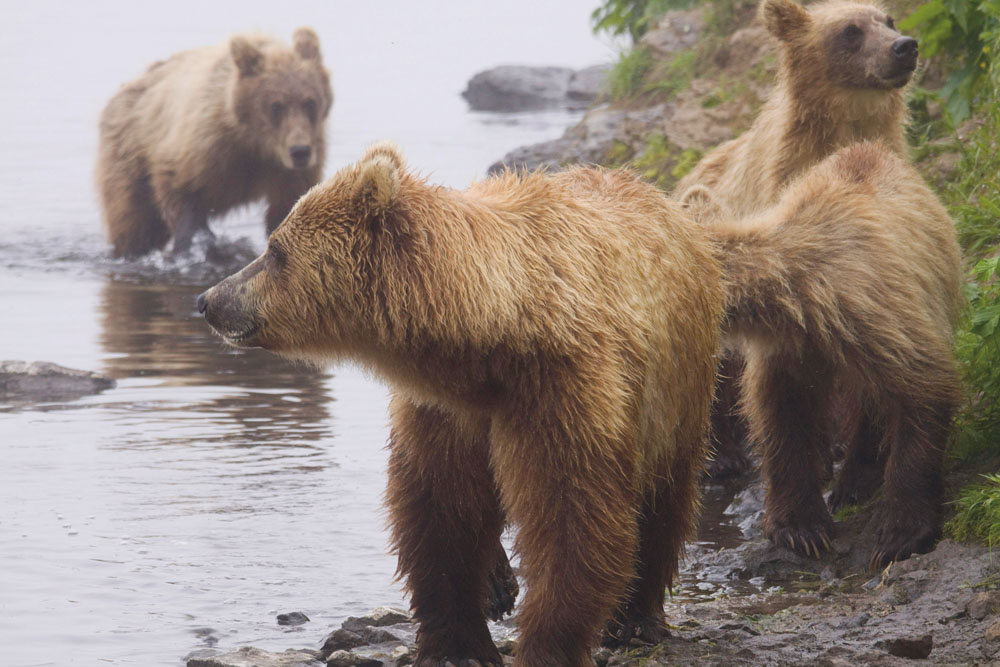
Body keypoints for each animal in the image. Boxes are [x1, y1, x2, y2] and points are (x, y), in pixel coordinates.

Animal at [96, 29, 332, 258]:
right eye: (276, 106)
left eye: (310, 102)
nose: (300, 151)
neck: (254, 142)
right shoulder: (204, 145)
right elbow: (178, 188)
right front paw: (192, 242)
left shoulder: (291, 167)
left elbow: (287, 205)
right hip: (127, 156)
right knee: (133, 221)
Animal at [197, 144, 728, 664]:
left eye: (275, 251)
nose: (208, 300)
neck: (486, 344)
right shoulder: (445, 409)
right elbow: (441, 510)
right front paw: (458, 645)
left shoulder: (563, 389)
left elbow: (572, 514)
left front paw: (547, 645)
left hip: (678, 383)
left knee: (664, 498)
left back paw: (635, 618)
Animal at [700, 142, 964, 568]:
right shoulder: (790, 349)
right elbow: (784, 418)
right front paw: (800, 529)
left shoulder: (870, 314)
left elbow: (922, 390)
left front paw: (899, 535)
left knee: (872, 397)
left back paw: (855, 480)